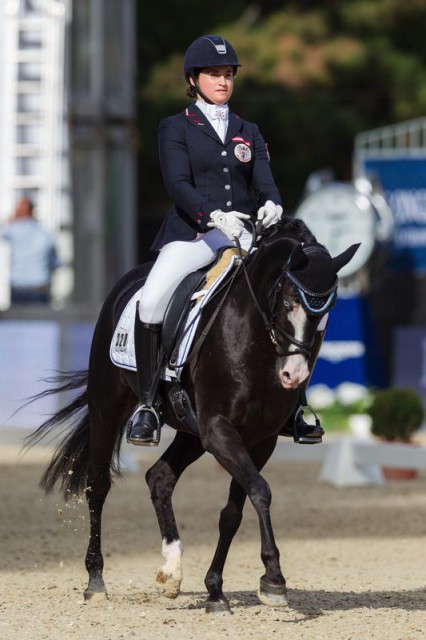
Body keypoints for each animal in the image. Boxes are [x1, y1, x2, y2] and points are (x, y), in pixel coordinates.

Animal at [25, 217, 358, 615]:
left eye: (329, 311)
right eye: (290, 301)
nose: (293, 375)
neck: (255, 340)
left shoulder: (258, 440)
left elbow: (235, 510)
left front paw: (216, 590)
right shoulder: (219, 430)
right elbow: (261, 491)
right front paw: (274, 578)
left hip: (190, 431)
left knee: (159, 477)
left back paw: (171, 571)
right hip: (109, 407)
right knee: (98, 487)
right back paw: (95, 581)